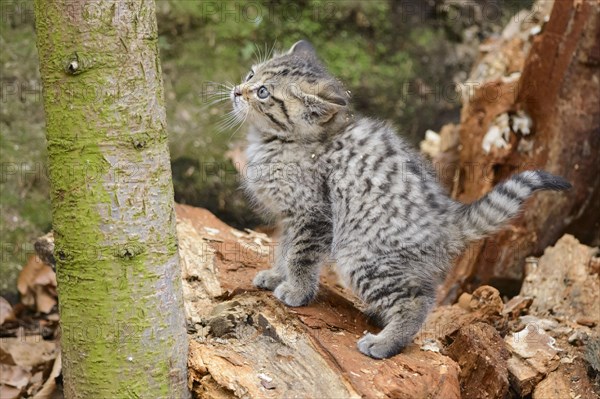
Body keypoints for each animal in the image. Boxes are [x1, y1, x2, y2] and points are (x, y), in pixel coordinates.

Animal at [231, 40, 572, 360]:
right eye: (250, 74)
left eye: (262, 92)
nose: (236, 91)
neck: (283, 143)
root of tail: (449, 217)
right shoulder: (291, 216)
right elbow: (285, 249)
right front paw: (276, 275)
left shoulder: (313, 214)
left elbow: (300, 256)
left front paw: (297, 290)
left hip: (361, 255)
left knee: (417, 301)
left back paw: (384, 343)